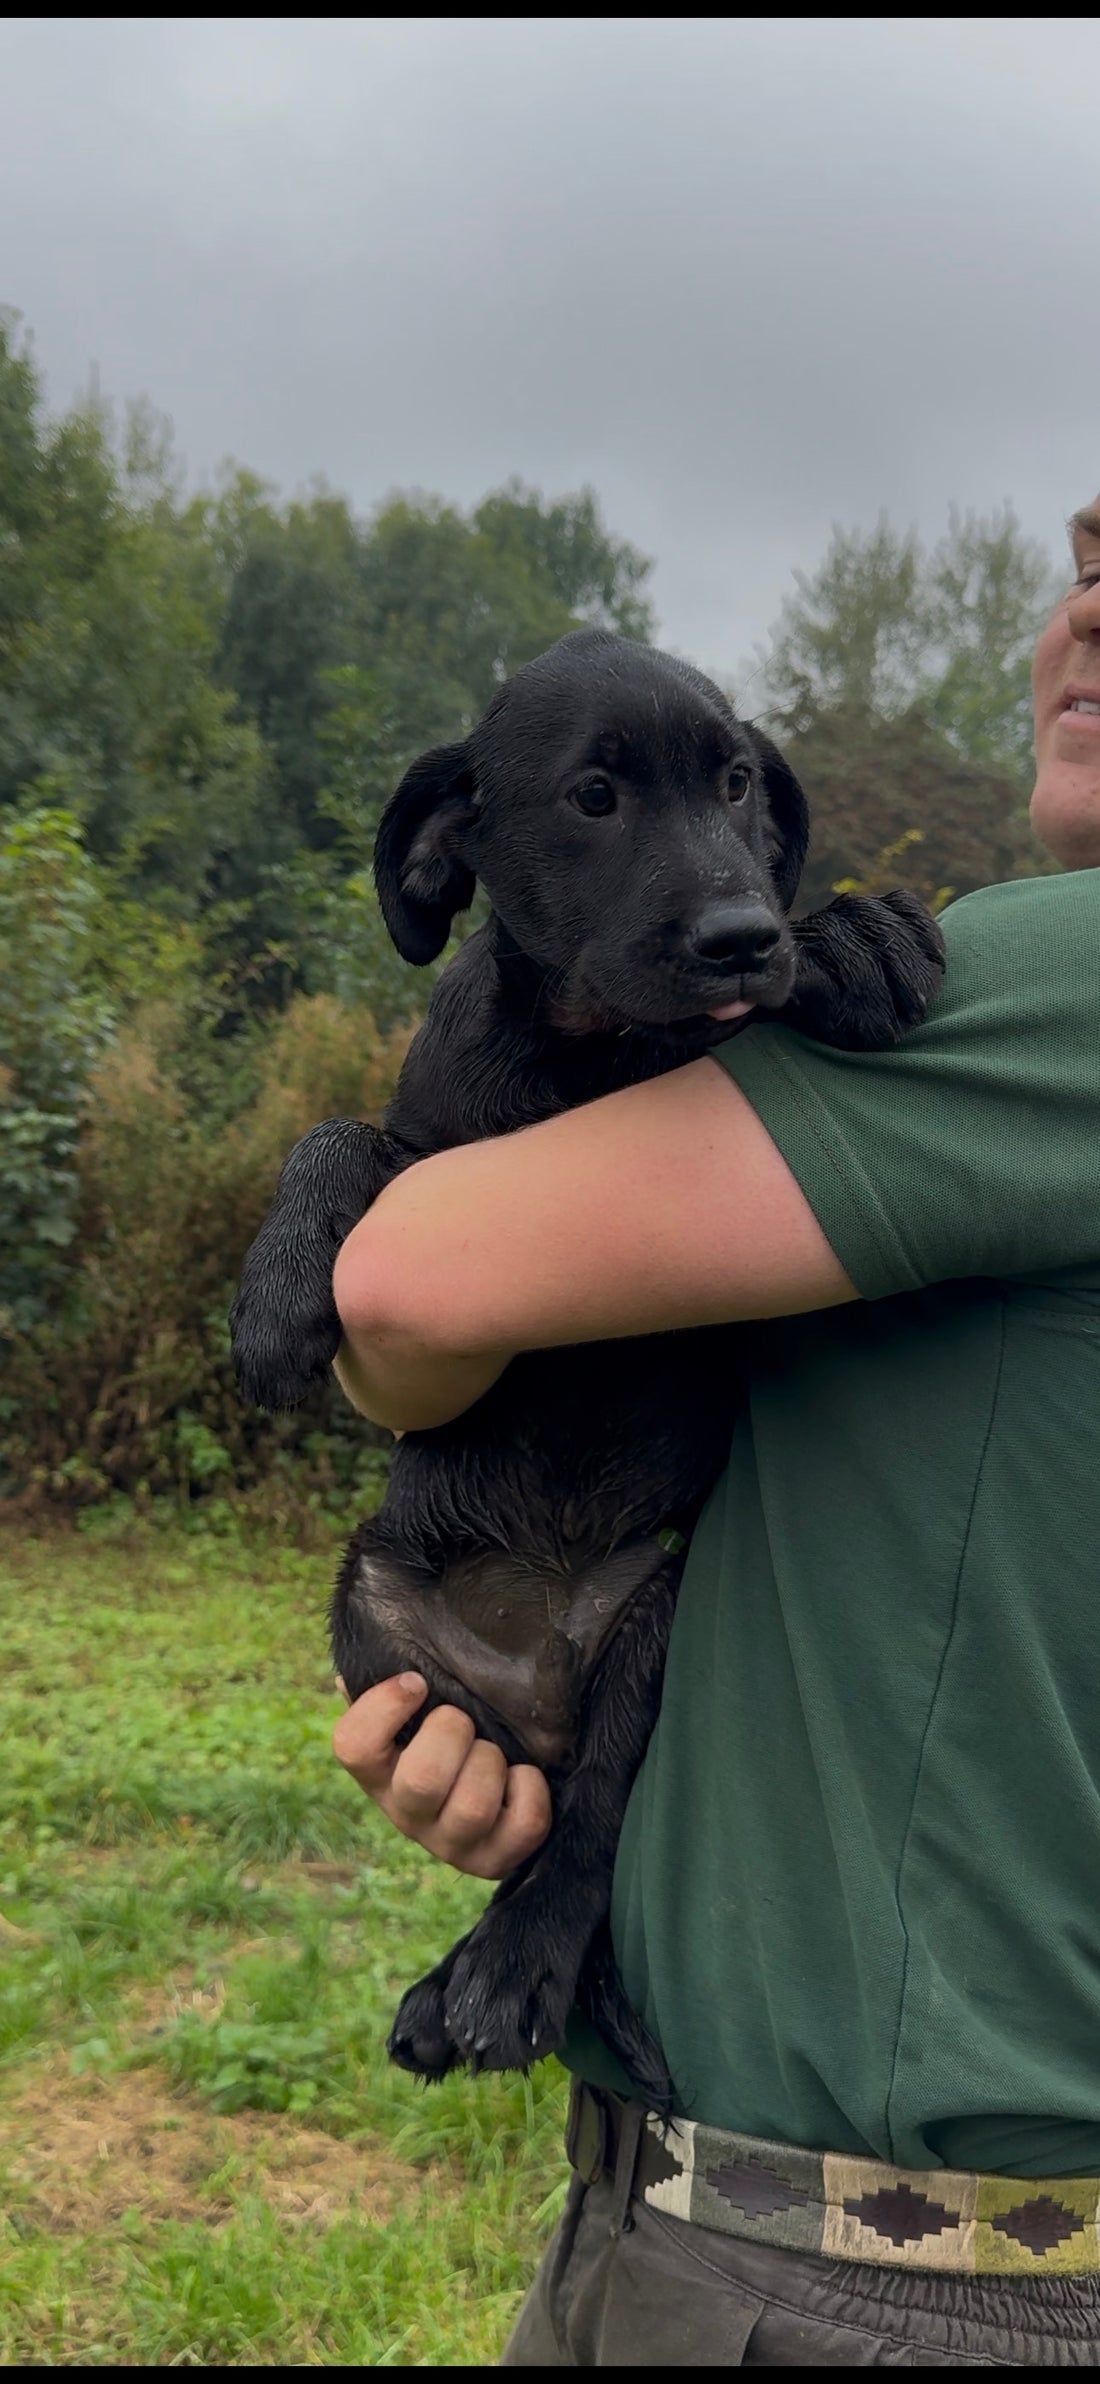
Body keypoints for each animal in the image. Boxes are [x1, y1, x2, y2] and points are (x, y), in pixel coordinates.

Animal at [231, 629, 944, 2107]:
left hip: (656, 1616)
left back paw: (502, 1978)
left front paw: (849, 933)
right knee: (546, 1827)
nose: (744, 937)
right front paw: (275, 1297)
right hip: (376, 1618)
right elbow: (338, 1134)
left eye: (736, 785)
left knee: (592, 1824)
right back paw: (464, 1985)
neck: (590, 1052)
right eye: (594, 797)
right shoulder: (428, 1161)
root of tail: (540, 1670)